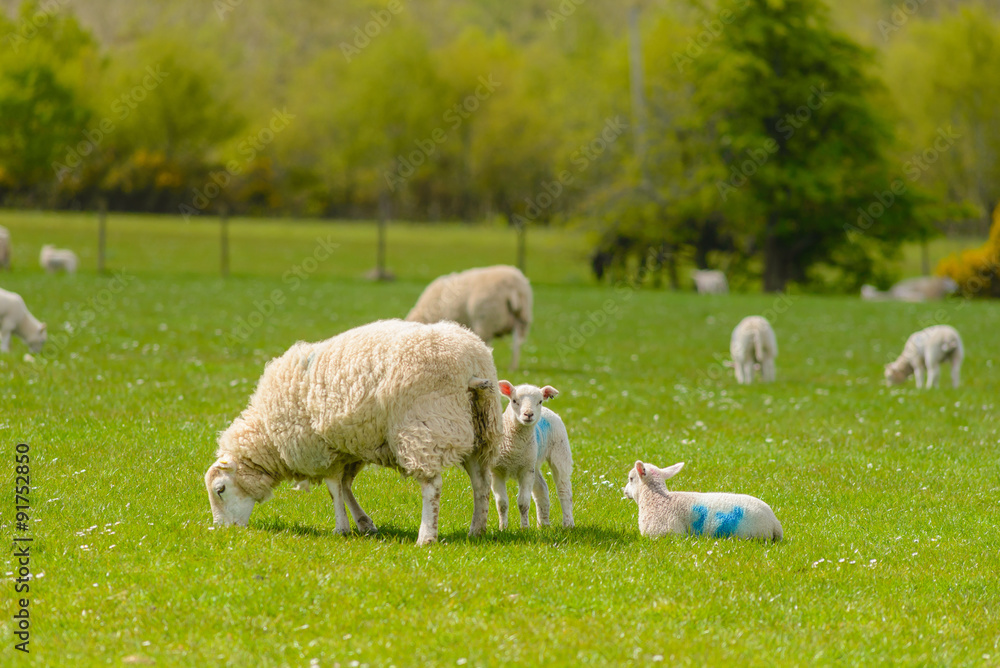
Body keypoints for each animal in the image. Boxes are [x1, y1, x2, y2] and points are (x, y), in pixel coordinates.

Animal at [204, 319, 503, 546]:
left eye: (220, 490)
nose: (224, 531)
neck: (268, 436)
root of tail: (472, 365)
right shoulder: (347, 448)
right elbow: (345, 487)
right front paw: (364, 524)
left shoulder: (321, 449)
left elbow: (334, 489)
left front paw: (341, 528)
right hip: (480, 429)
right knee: (481, 483)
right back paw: (477, 531)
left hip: (423, 426)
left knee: (432, 485)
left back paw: (426, 536)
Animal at [490, 381, 573, 529]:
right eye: (514, 401)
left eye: (539, 401)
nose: (528, 414)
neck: (513, 449)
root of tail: (547, 410)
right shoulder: (497, 471)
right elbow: (502, 504)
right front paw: (503, 528)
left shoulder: (525, 471)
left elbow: (523, 503)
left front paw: (524, 528)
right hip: (533, 462)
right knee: (542, 488)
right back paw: (543, 524)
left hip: (560, 452)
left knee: (564, 490)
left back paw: (568, 524)